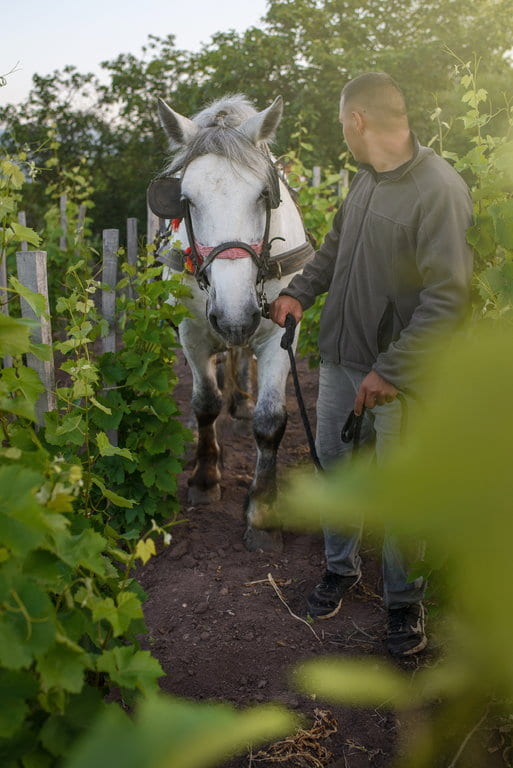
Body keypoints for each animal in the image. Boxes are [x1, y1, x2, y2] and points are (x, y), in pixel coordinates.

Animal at [148, 94, 314, 551]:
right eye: (185, 200)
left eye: (263, 195)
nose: (235, 316)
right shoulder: (192, 332)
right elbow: (205, 402)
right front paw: (205, 478)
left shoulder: (281, 332)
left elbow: (271, 421)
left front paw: (263, 512)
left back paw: (241, 398)